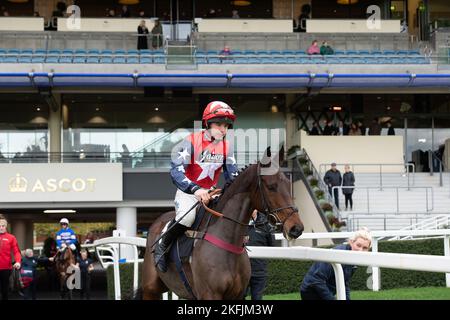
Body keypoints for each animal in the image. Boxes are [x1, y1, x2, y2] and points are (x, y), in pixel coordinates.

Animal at [142, 149, 304, 300]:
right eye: (271, 186)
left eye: (288, 184)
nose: (296, 228)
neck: (227, 240)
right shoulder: (209, 294)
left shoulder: (238, 295)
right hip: (150, 290)